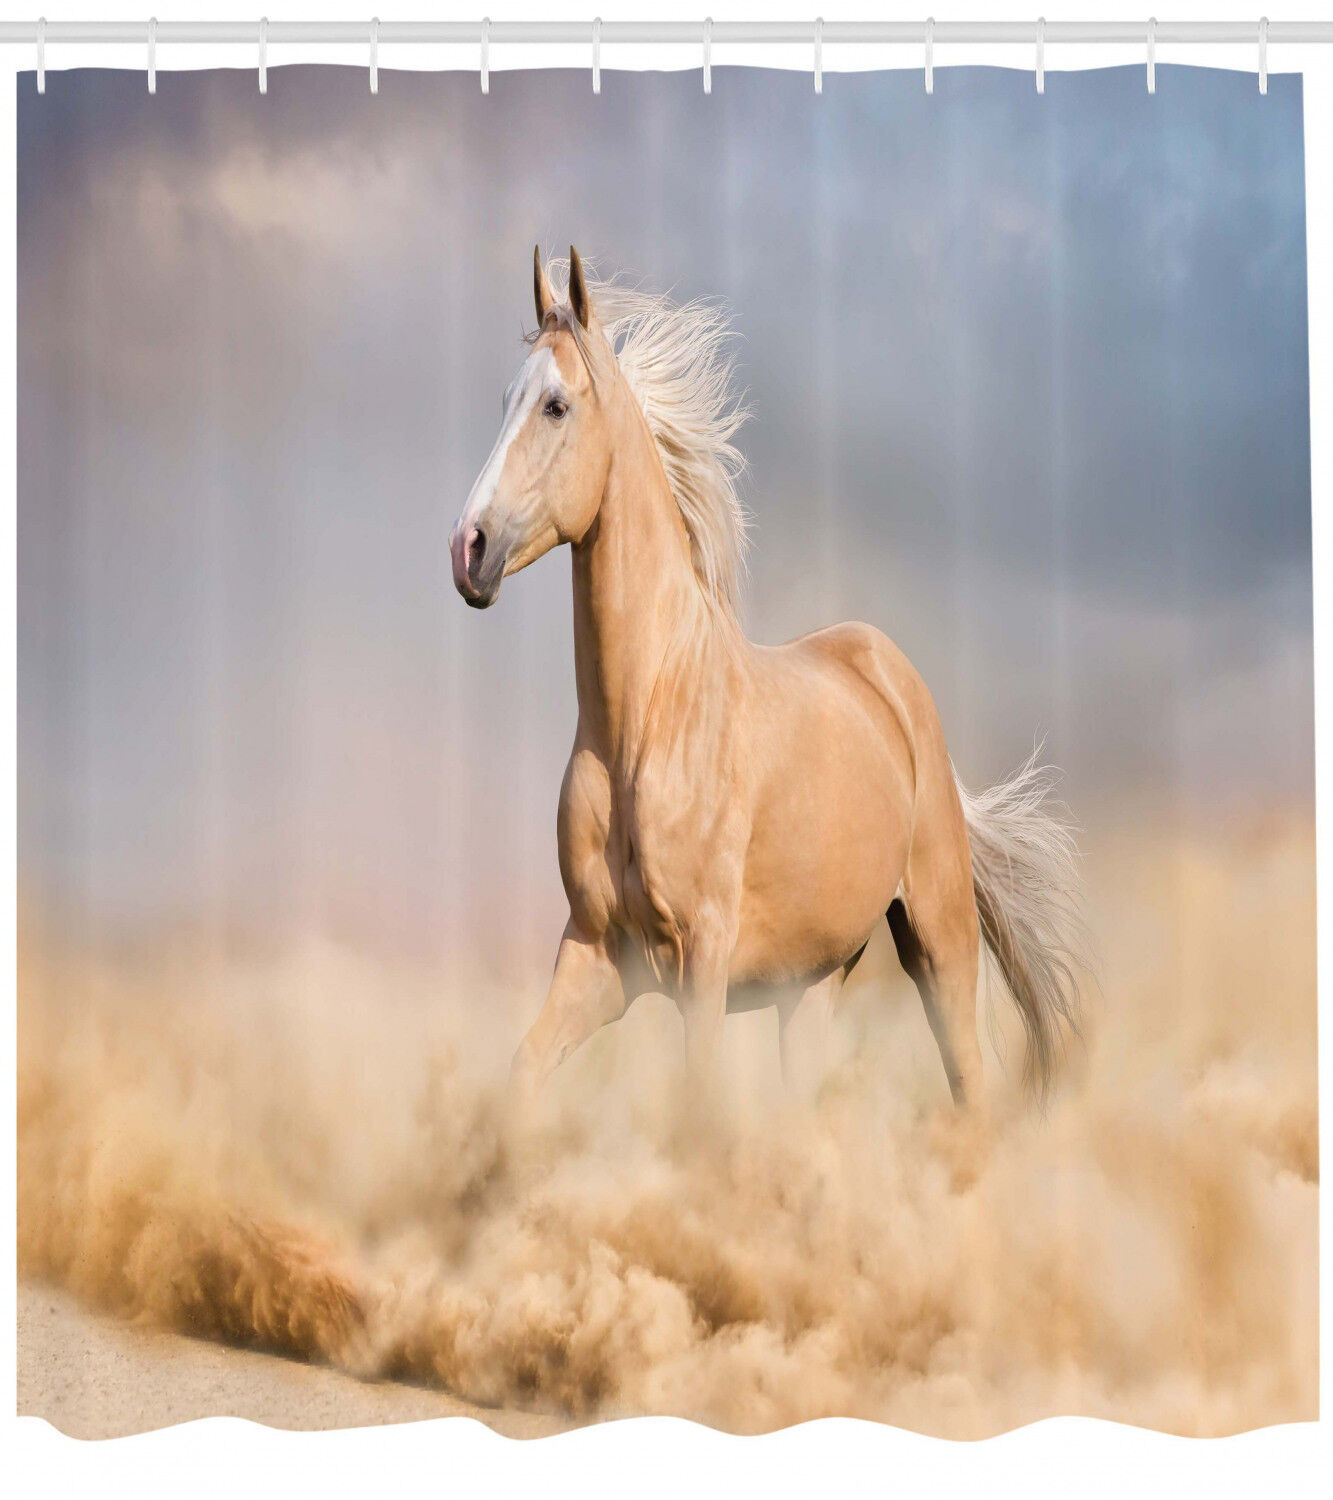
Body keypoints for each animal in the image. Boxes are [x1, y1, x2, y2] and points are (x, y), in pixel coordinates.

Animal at [449, 247, 1085, 1109]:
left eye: (555, 406)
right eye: (504, 398)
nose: (468, 550)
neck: (647, 724)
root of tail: (891, 680)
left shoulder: (702, 959)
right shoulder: (595, 957)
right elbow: (520, 1076)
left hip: (938, 942)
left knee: (971, 1084)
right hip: (808, 985)